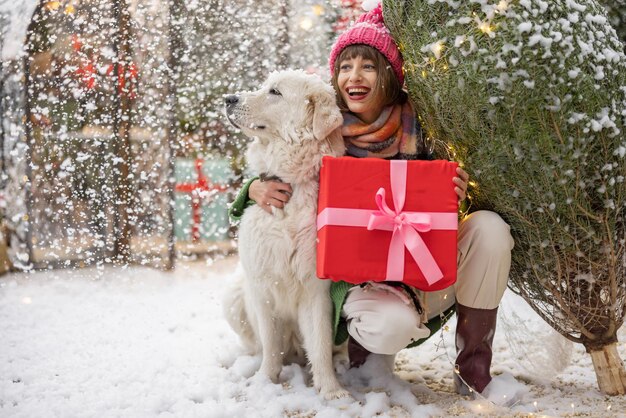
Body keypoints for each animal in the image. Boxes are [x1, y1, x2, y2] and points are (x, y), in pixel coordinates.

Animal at [221, 71, 348, 398]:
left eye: (275, 92)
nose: (229, 98)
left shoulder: (316, 291)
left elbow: (319, 345)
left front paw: (331, 390)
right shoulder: (262, 286)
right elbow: (271, 344)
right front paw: (265, 381)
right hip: (234, 294)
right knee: (257, 345)